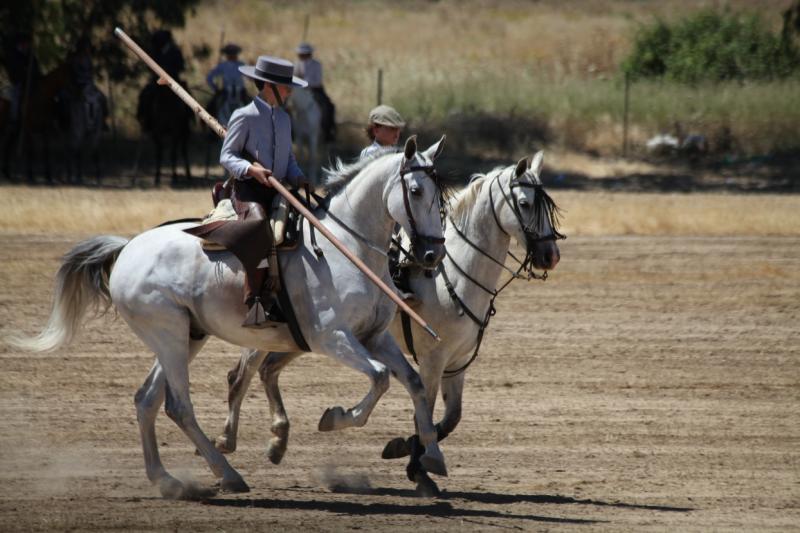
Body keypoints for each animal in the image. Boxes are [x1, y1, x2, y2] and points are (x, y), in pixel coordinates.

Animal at [12, 136, 446, 498]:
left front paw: (432, 456)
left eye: (440, 197)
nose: (432, 255)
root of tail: (128, 247)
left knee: (146, 400)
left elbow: (413, 382)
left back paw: (166, 479)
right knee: (178, 405)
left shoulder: (373, 336)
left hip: (185, 336)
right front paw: (335, 417)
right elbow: (380, 377)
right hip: (169, 334)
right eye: (415, 191)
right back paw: (227, 474)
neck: (345, 247)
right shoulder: (332, 338)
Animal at [212, 150, 564, 494]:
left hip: (301, 338)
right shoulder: (433, 358)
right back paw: (230, 445)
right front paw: (418, 466)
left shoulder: (456, 363)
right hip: (273, 335)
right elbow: (426, 407)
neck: (455, 272)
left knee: (268, 371)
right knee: (240, 375)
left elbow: (451, 417)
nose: (550, 256)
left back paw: (276, 442)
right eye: (524, 204)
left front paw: (406, 449)